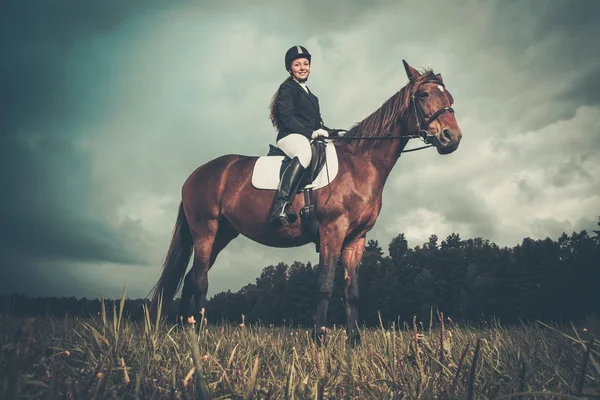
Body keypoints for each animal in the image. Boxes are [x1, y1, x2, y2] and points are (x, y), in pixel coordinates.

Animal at [150, 61, 464, 346]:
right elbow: (325, 285)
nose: (452, 138)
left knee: (191, 278)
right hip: (206, 230)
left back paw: (187, 329)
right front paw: (319, 339)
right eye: (423, 95)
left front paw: (353, 342)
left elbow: (352, 291)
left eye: (449, 98)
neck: (361, 163)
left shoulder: (356, 238)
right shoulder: (332, 231)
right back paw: (200, 333)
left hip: (223, 233)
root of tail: (196, 174)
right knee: (201, 279)